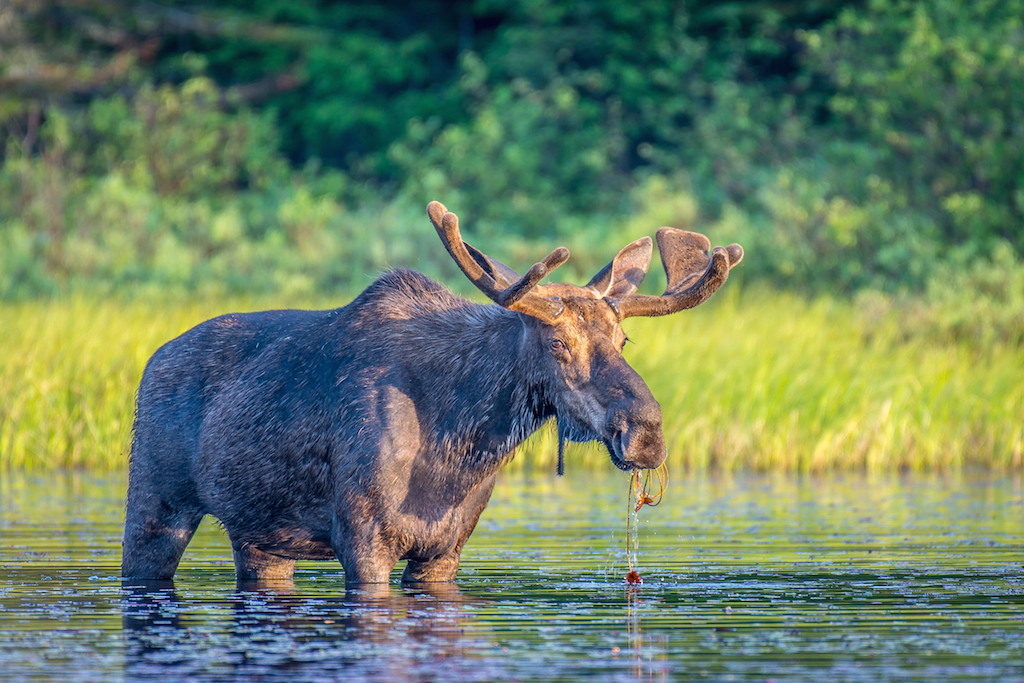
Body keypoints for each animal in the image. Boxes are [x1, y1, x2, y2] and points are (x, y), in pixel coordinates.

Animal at [121, 201, 743, 585]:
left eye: (623, 337)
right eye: (557, 343)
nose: (646, 433)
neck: (461, 445)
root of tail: (153, 359)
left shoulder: (446, 548)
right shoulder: (362, 538)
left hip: (259, 537)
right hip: (157, 498)